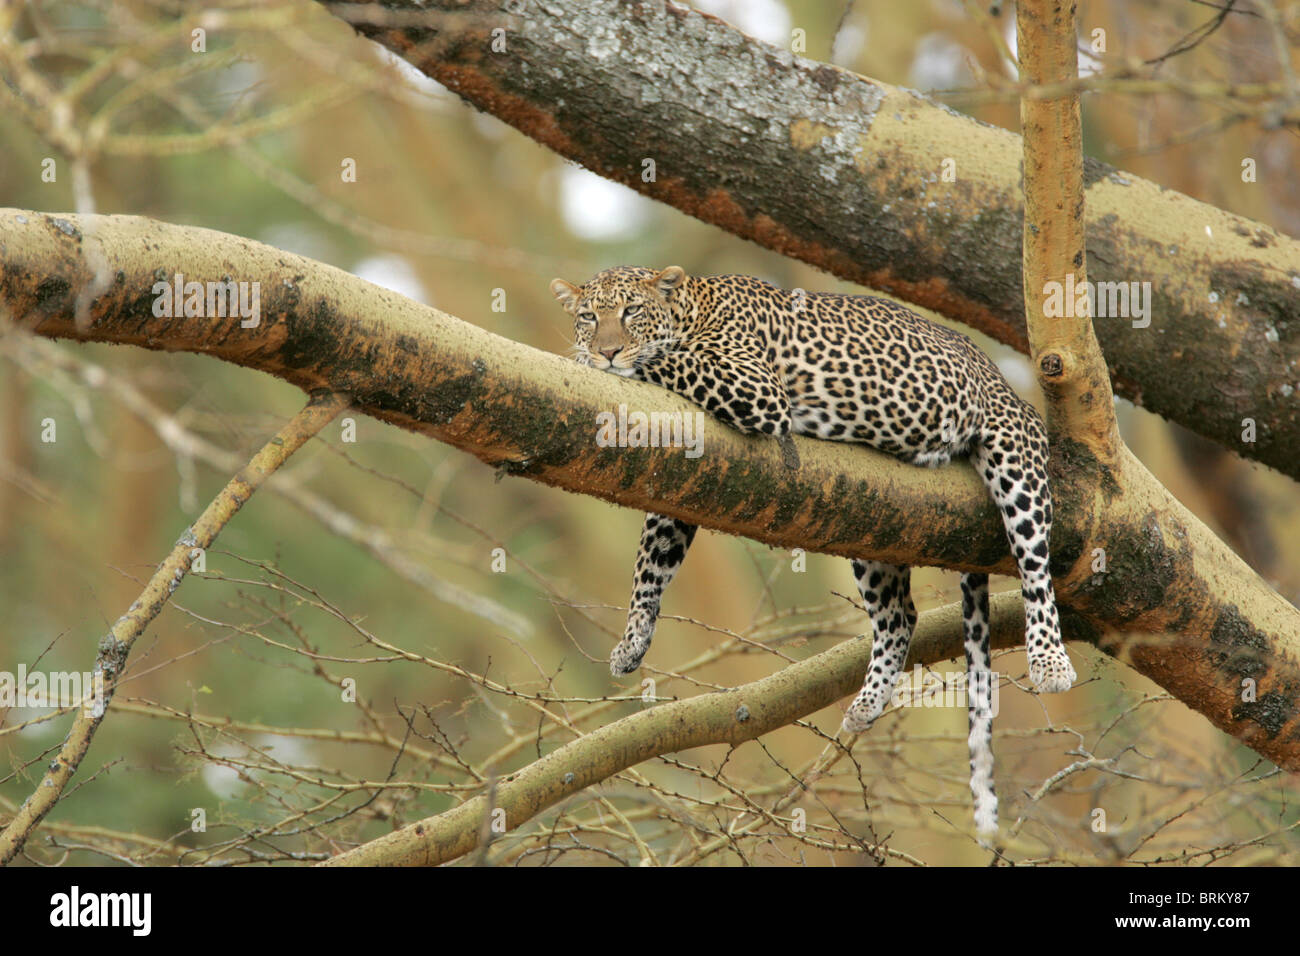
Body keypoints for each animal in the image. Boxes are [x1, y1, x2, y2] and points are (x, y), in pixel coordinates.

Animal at [550, 265, 1076, 839]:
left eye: (631, 313)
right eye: (587, 316)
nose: (605, 351)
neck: (691, 309)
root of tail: (1006, 384)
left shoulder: (756, 387)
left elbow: (667, 360)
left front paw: (603, 362)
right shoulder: (689, 487)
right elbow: (651, 561)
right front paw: (632, 640)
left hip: (1016, 458)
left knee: (1035, 567)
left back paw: (1051, 662)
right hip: (873, 527)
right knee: (900, 616)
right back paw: (866, 704)